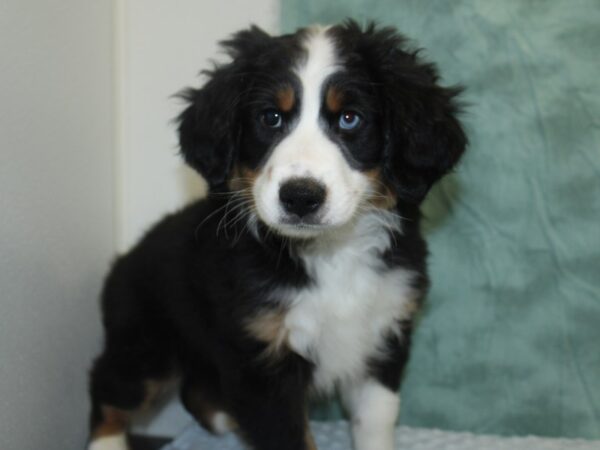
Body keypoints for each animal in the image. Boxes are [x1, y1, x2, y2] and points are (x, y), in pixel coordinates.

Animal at [86, 20, 466, 450]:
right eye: (270, 117)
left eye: (349, 118)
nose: (300, 196)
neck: (330, 254)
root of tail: (125, 258)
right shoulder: (259, 361)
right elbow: (289, 437)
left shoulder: (382, 335)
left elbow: (376, 422)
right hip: (145, 342)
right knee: (109, 388)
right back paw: (109, 442)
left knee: (194, 389)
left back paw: (226, 419)